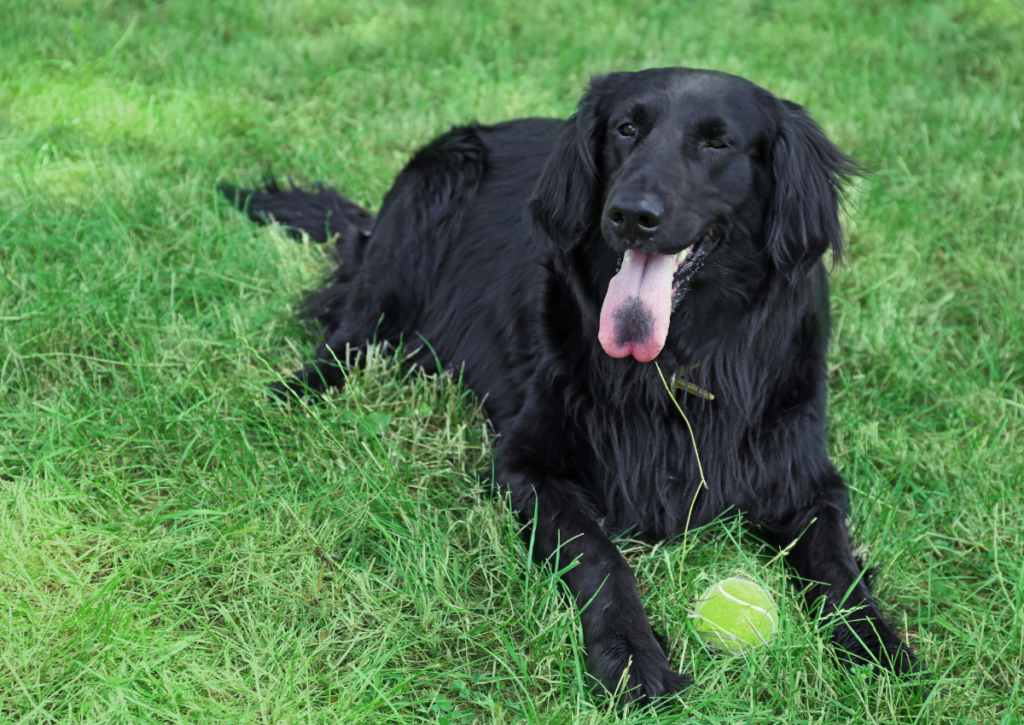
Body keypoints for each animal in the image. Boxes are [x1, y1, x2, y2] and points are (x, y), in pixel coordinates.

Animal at [230, 68, 921, 700]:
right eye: (626, 130)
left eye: (718, 143)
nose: (631, 215)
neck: (679, 363)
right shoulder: (527, 464)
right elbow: (599, 555)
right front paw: (633, 657)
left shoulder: (804, 479)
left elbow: (838, 567)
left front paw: (879, 647)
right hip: (429, 192)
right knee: (352, 334)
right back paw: (287, 394)